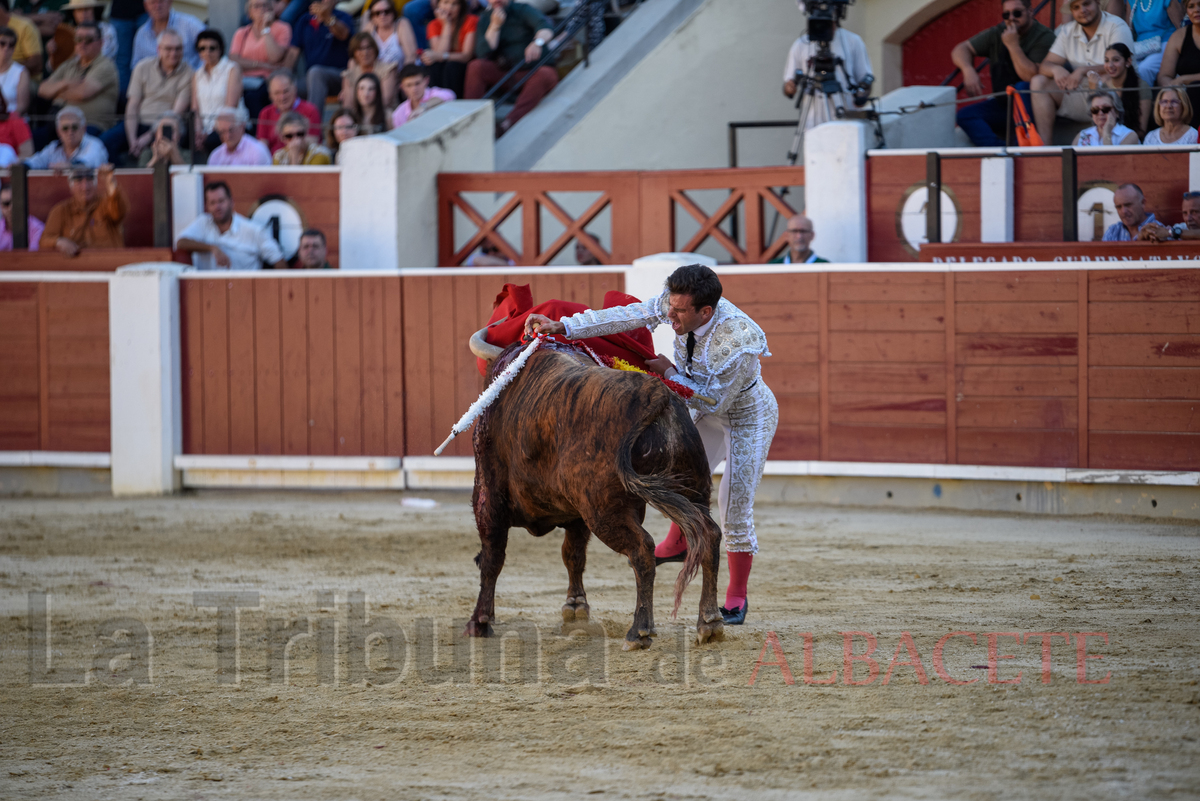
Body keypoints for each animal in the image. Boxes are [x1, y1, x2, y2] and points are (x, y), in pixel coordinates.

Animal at [463, 328, 724, 647]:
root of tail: (656, 394)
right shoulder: (576, 514)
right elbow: (573, 554)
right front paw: (575, 606)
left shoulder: (488, 497)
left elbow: (492, 558)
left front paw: (479, 621)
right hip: (692, 490)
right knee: (709, 535)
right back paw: (709, 622)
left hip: (604, 511)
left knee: (642, 549)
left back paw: (640, 631)